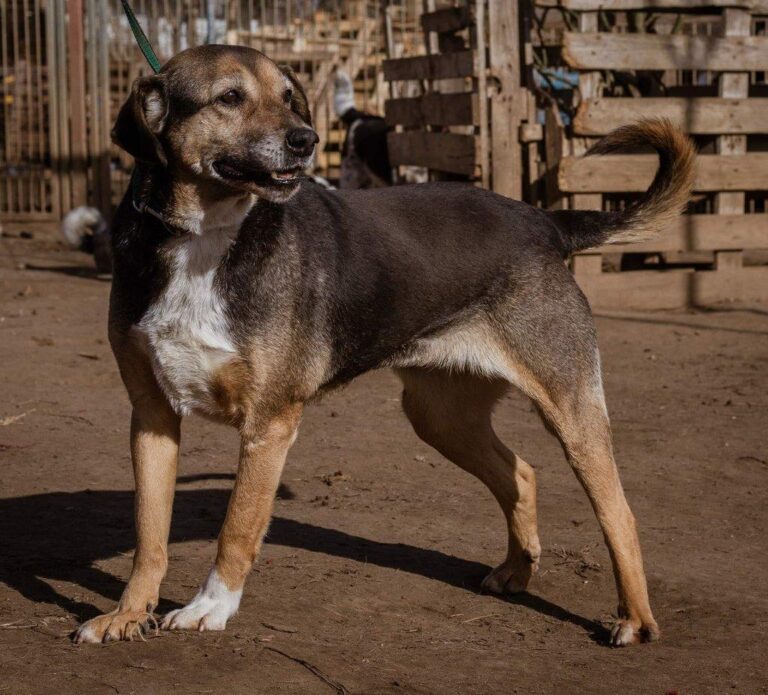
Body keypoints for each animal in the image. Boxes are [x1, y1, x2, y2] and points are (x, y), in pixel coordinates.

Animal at [72, 46, 696, 648]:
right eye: (229, 97)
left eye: (288, 96)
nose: (306, 141)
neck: (205, 237)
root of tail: (542, 220)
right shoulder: (152, 416)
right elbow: (149, 535)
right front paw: (127, 614)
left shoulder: (268, 424)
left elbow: (237, 529)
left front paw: (210, 608)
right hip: (440, 416)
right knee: (521, 474)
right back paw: (517, 571)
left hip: (569, 408)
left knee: (619, 512)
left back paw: (634, 620)